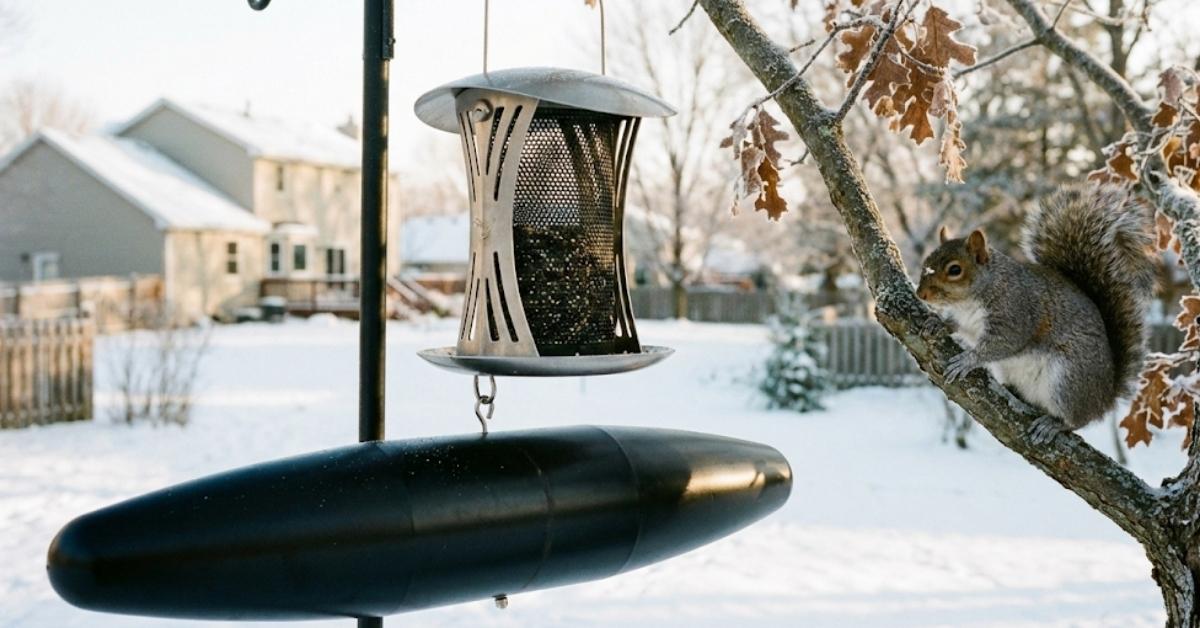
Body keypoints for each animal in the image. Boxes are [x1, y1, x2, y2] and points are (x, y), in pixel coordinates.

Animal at [915, 185, 1156, 444]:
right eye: (927, 260)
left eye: (955, 270)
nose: (921, 294)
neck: (969, 301)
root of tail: (1104, 398)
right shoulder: (966, 320)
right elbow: (956, 325)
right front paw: (937, 323)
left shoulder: (1016, 314)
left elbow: (1002, 344)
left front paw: (967, 360)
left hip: (1067, 381)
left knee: (1078, 420)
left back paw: (1053, 425)